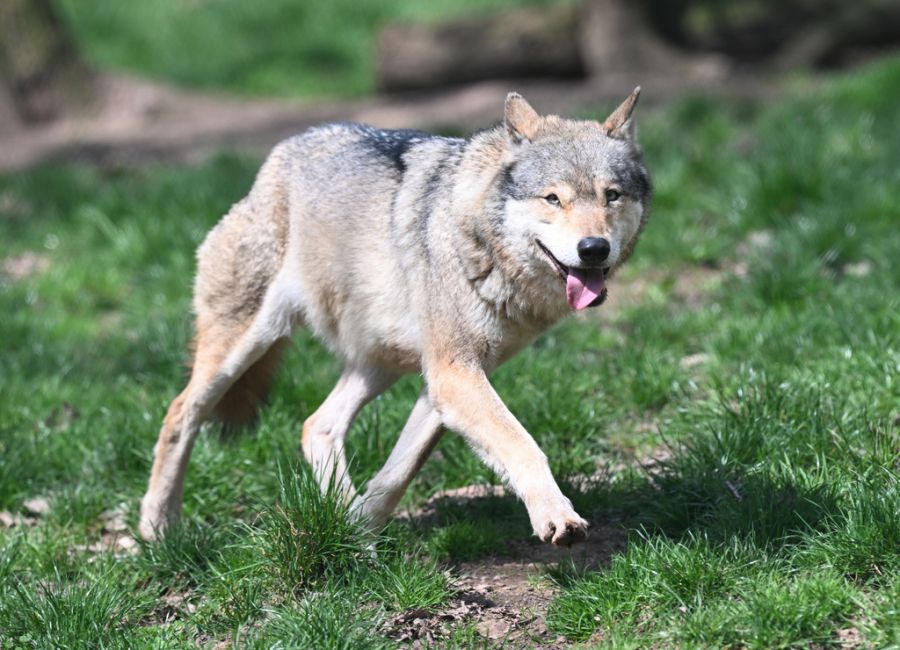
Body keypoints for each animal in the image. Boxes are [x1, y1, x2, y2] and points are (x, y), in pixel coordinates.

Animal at [139, 89, 651, 546]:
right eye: (553, 199)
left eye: (611, 196)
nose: (594, 248)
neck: (479, 240)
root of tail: (279, 156)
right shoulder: (454, 375)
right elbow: (523, 445)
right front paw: (556, 517)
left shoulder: (446, 381)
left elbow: (398, 473)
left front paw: (358, 534)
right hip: (242, 349)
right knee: (179, 414)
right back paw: (157, 528)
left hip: (382, 363)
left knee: (316, 424)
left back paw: (338, 516)